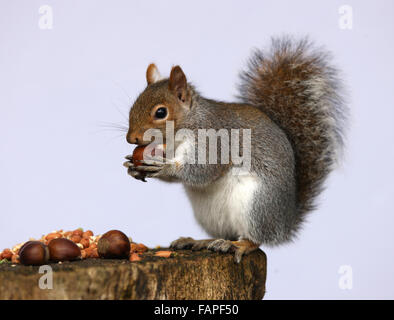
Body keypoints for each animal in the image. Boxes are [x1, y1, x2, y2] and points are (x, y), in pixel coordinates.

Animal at [124, 37, 348, 262]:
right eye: (132, 106)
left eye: (161, 112)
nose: (131, 138)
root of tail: (285, 223)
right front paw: (132, 166)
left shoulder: (214, 141)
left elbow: (203, 170)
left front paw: (164, 167)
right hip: (211, 215)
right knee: (227, 233)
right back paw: (200, 241)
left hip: (257, 205)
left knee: (256, 239)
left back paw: (238, 245)